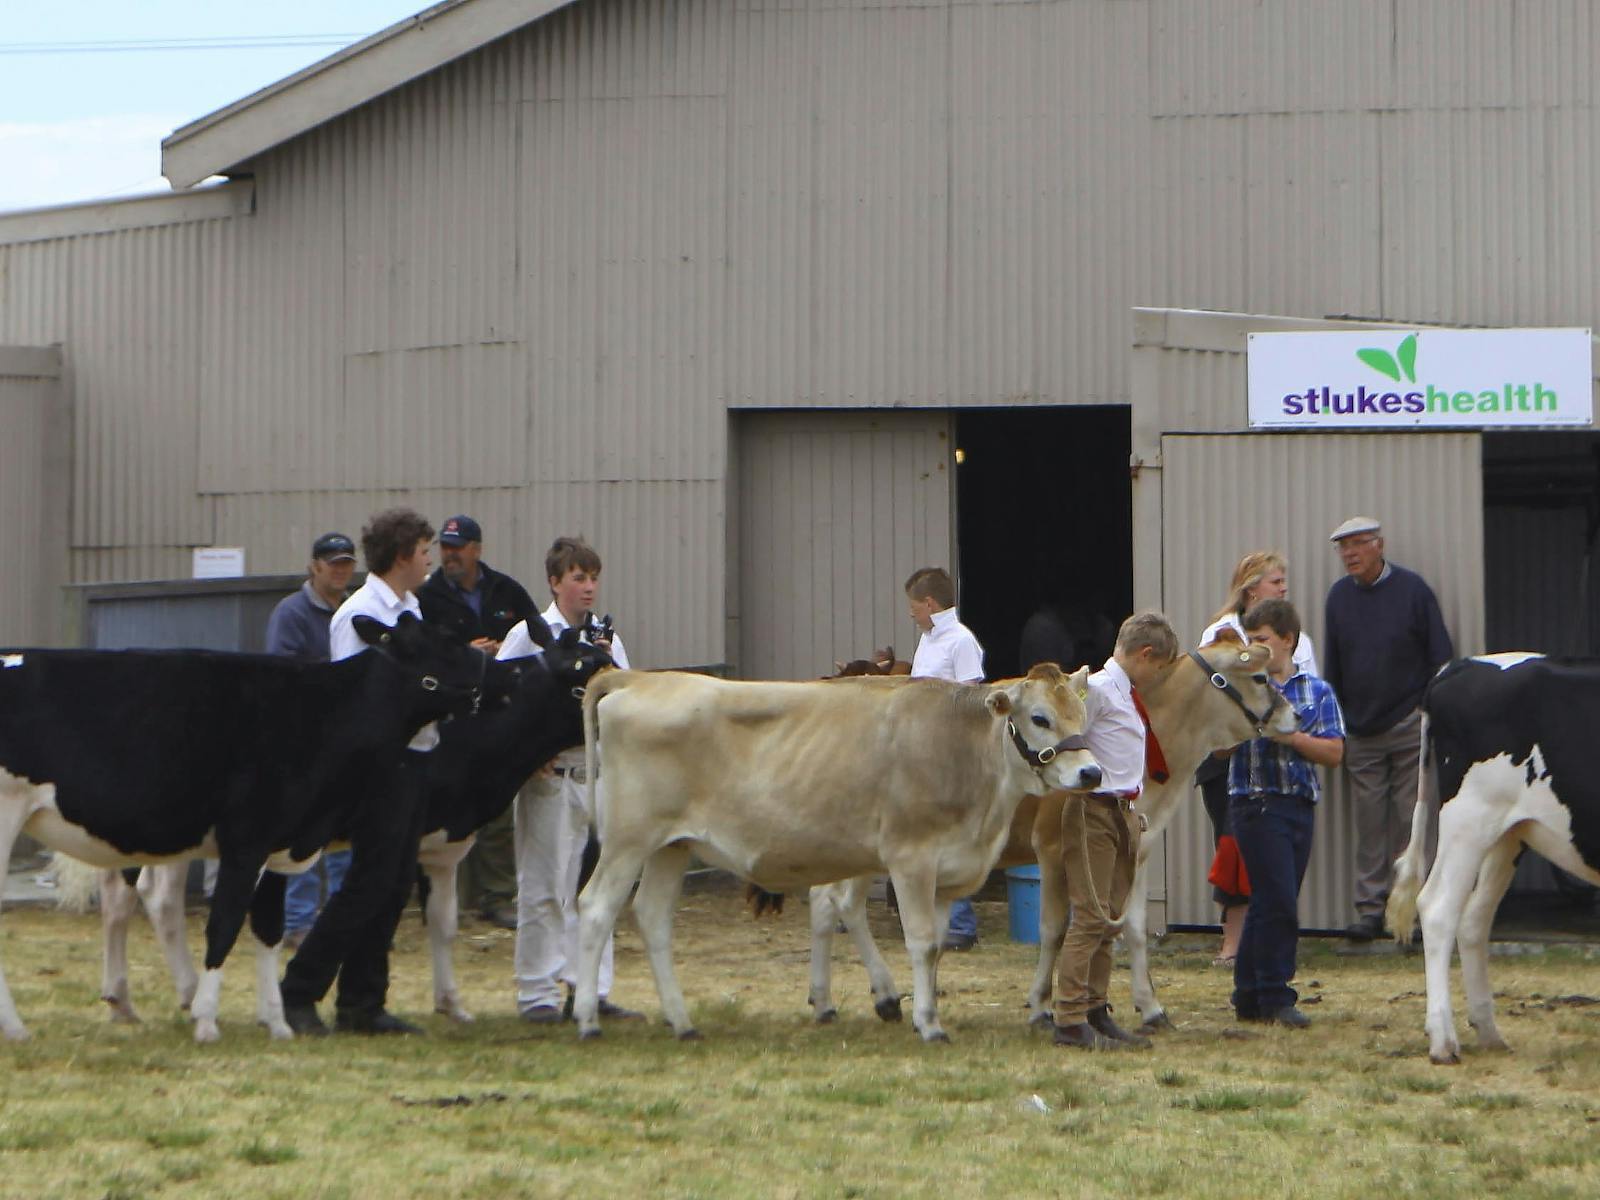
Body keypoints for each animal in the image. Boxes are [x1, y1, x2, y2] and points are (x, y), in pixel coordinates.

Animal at [0, 611, 512, 1043]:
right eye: (448, 641)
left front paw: (277, 1024)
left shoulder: (279, 841)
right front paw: (207, 1021)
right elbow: (225, 925)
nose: (509, 675)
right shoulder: (246, 841)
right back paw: (18, 1029)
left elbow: (267, 930)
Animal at [569, 662, 1107, 1049]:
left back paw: (682, 1023)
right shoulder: (911, 859)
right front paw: (929, 1024)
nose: (1092, 773)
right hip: (628, 839)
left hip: (672, 847)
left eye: (1082, 717)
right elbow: (921, 943)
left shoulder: (947, 872)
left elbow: (935, 948)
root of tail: (640, 678)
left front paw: (925, 1011)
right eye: (1039, 718)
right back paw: (588, 1020)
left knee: (653, 917)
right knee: (596, 908)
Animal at [806, 630, 1292, 1036]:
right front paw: (1042, 1006)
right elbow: (1055, 929)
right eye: (1261, 676)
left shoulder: (1140, 848)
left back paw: (834, 999)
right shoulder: (1056, 848)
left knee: (827, 904)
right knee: (840, 904)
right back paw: (875, 996)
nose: (1294, 714)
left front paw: (1150, 1007)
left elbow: (1133, 929)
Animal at [1388, 652, 1600, 1068]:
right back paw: (1443, 1042)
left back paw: (1488, 1033)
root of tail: (1461, 664)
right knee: (1437, 908)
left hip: (1508, 834)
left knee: (1474, 918)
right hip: (1468, 820)